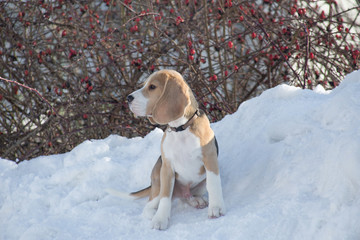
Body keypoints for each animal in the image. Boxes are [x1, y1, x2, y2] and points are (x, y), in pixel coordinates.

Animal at [125, 69, 224, 229]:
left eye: (152, 87)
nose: (128, 98)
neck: (180, 129)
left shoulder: (210, 159)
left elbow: (214, 183)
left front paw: (216, 207)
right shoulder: (167, 168)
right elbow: (165, 198)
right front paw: (160, 219)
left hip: (200, 184)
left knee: (187, 196)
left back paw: (195, 200)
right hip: (158, 182)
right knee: (149, 206)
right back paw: (153, 214)